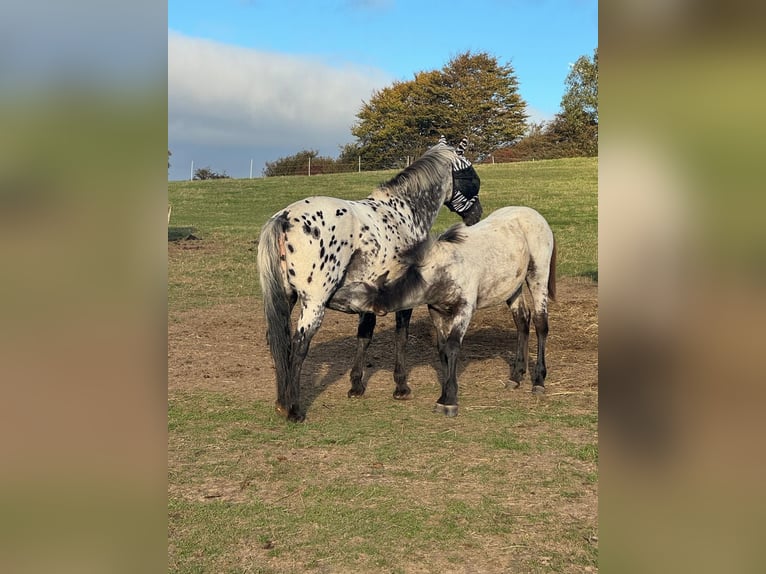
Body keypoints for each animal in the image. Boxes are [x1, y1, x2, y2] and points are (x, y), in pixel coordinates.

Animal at [257, 139, 483, 422]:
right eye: (471, 176)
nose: (477, 214)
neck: (403, 212)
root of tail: (285, 218)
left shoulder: (368, 297)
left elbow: (364, 336)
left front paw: (356, 385)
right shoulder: (405, 299)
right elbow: (401, 337)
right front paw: (401, 387)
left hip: (287, 299)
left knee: (279, 342)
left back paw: (281, 402)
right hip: (313, 303)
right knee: (299, 345)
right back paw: (294, 409)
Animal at [352, 206, 556, 417]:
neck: (443, 269)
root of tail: (533, 214)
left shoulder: (464, 310)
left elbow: (452, 347)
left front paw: (449, 401)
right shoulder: (437, 312)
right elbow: (443, 349)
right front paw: (444, 395)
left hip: (538, 277)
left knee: (540, 324)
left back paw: (539, 381)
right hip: (512, 287)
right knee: (522, 321)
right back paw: (516, 376)